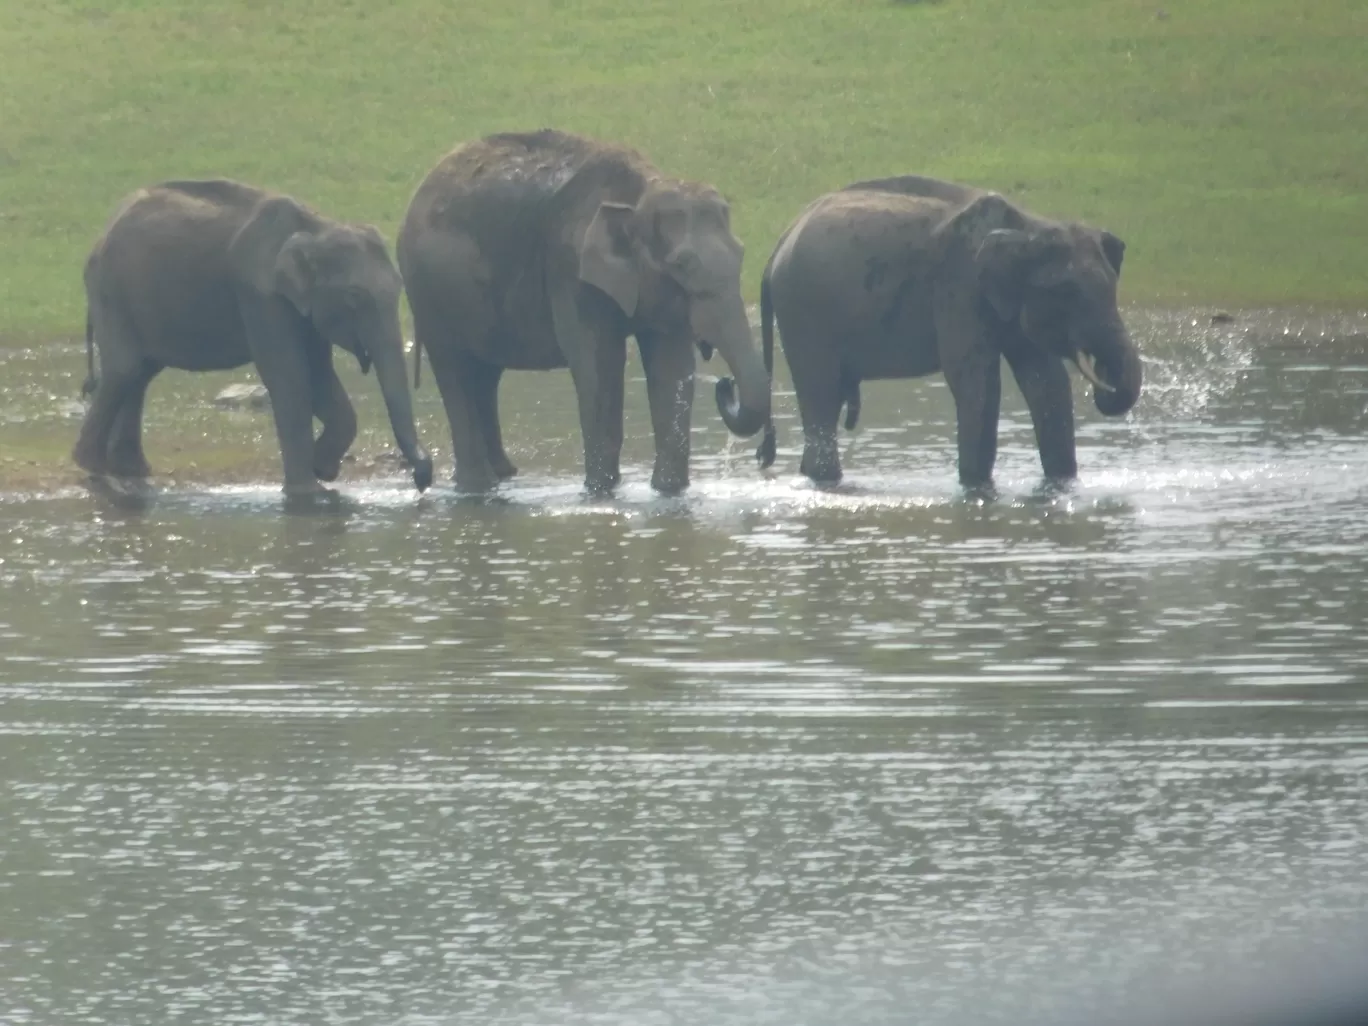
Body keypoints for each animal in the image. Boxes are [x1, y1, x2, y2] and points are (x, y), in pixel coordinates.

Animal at [72, 179, 432, 497]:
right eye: (354, 297)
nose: (422, 479)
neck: (316, 227)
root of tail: (102, 233)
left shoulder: (303, 305)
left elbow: (319, 376)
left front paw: (323, 470)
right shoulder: (260, 294)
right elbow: (290, 375)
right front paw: (307, 493)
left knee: (141, 373)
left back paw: (131, 471)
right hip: (110, 290)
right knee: (126, 368)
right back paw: (92, 466)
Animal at [399, 128, 777, 497]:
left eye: (742, 254)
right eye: (682, 265)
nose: (725, 384)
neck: (639, 193)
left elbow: (671, 367)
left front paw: (669, 493)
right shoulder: (571, 271)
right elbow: (599, 366)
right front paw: (599, 494)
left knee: (485, 374)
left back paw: (503, 477)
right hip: (428, 292)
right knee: (456, 371)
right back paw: (477, 489)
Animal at [749, 177, 1143, 489]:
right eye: (1067, 293)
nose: (1103, 378)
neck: (1028, 227)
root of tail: (775, 250)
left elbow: (1046, 382)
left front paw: (1061, 486)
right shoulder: (959, 285)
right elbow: (977, 380)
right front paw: (976, 489)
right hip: (803, 312)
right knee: (822, 392)